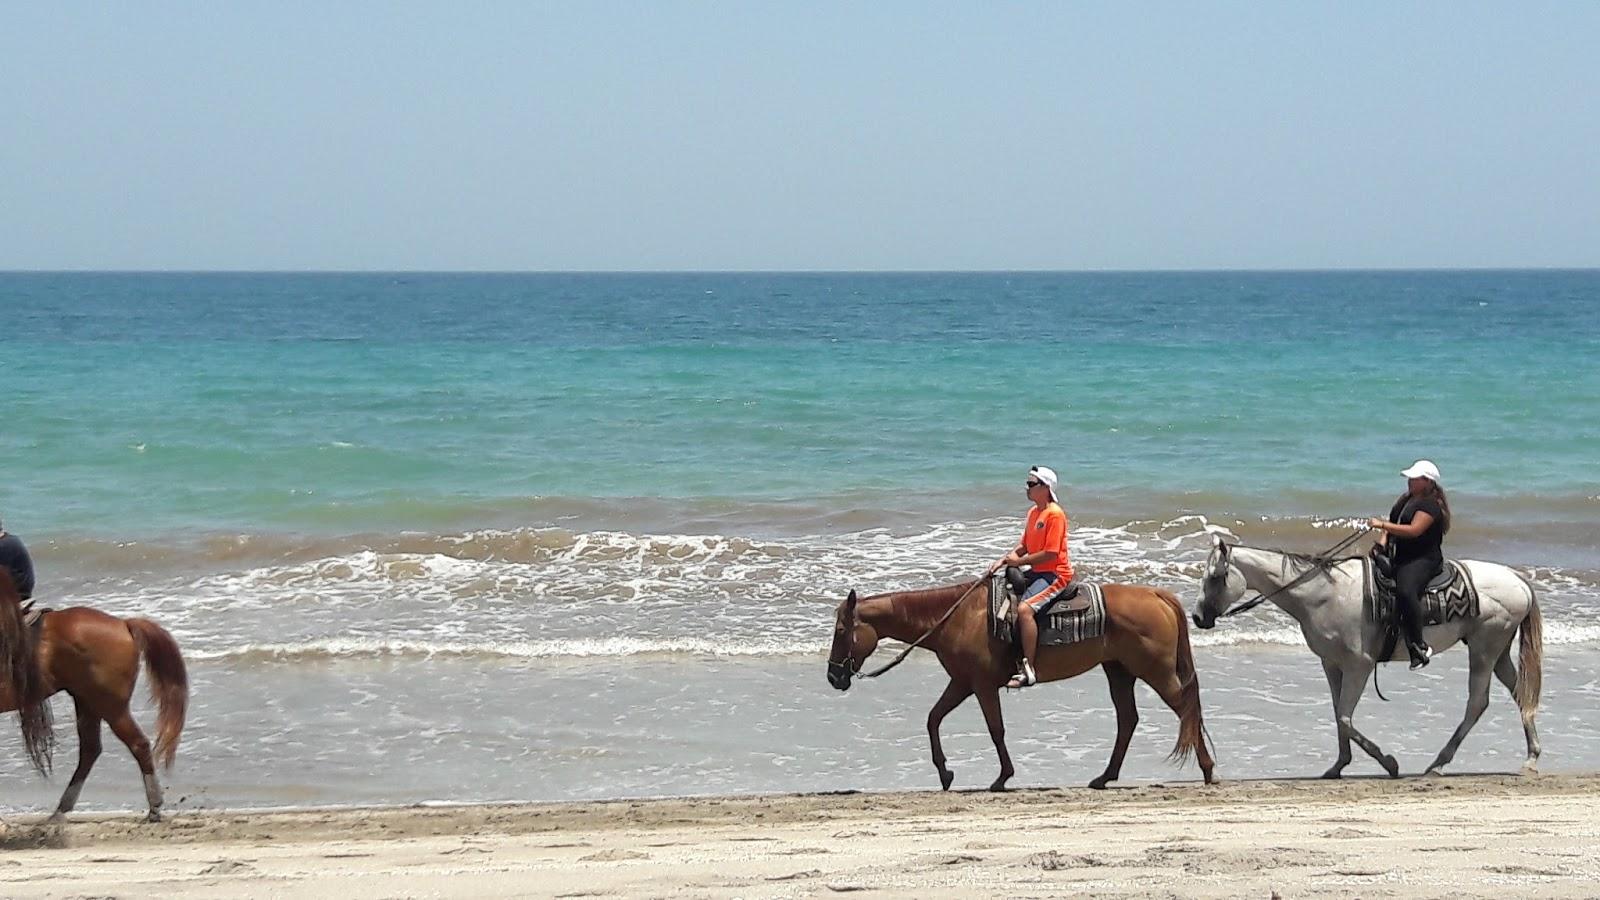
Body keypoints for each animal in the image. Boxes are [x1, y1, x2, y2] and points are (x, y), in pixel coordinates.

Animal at [0, 570, 187, 816]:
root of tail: (123, 624)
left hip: (110, 706)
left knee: (138, 744)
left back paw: (154, 806)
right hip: (86, 701)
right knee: (91, 749)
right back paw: (61, 809)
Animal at [832, 576, 1216, 787]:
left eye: (840, 631)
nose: (834, 676)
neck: (957, 617)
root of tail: (1157, 595)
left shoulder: (981, 686)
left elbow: (995, 729)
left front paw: (1002, 777)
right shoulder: (962, 683)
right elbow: (933, 719)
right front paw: (945, 773)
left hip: (1156, 672)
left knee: (1185, 710)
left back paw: (1208, 770)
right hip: (1119, 671)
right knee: (1128, 720)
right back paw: (1104, 777)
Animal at [1190, 528, 1536, 775]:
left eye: (1215, 577)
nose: (1197, 617)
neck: (1323, 594)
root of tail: (1517, 579)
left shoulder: (1360, 665)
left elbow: (1345, 717)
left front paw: (1389, 763)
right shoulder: (1331, 663)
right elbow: (1338, 714)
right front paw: (1338, 766)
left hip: (1484, 648)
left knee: (1477, 703)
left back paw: (1438, 763)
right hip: (1497, 650)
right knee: (1521, 691)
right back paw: (1531, 757)